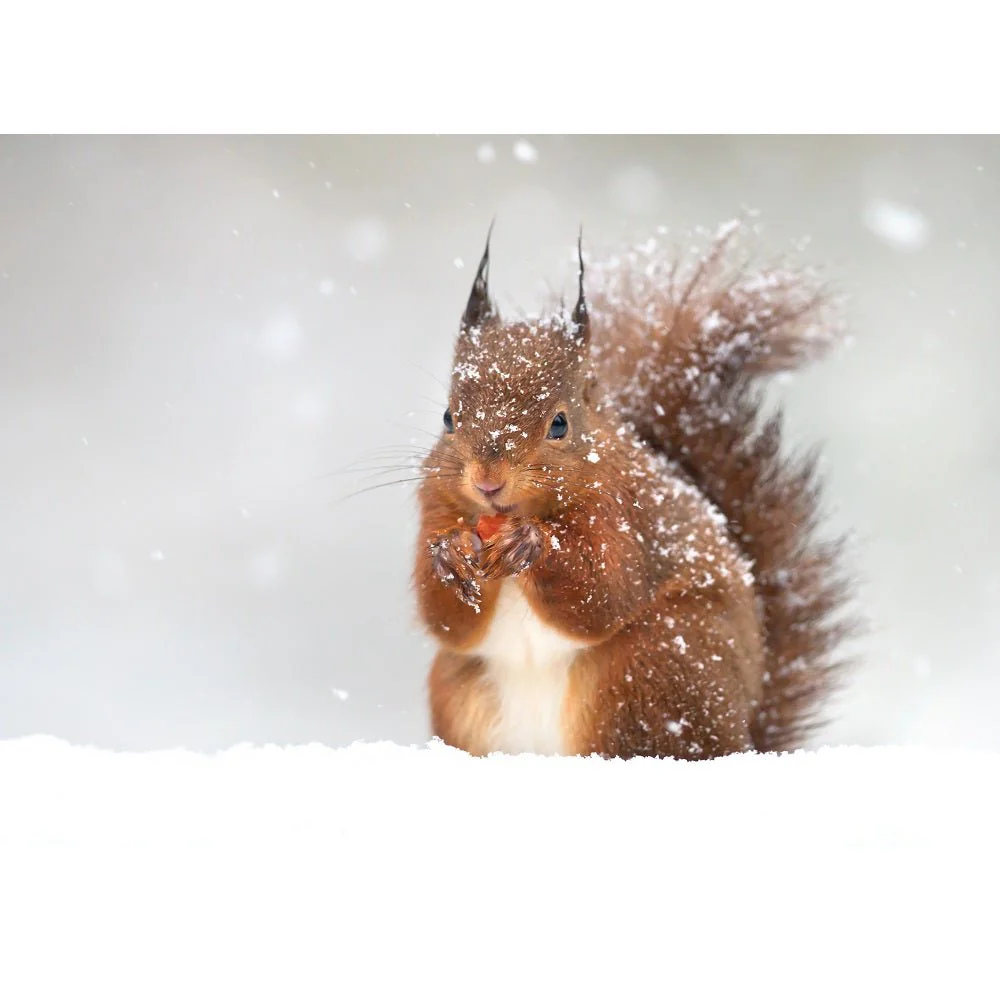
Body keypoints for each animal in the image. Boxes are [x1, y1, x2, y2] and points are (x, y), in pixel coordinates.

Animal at [413, 220, 856, 760]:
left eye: (559, 423)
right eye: (448, 418)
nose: (487, 480)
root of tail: (745, 735)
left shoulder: (626, 512)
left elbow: (604, 589)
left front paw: (532, 543)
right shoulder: (435, 505)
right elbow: (446, 619)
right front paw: (450, 554)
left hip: (649, 670)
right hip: (463, 694)